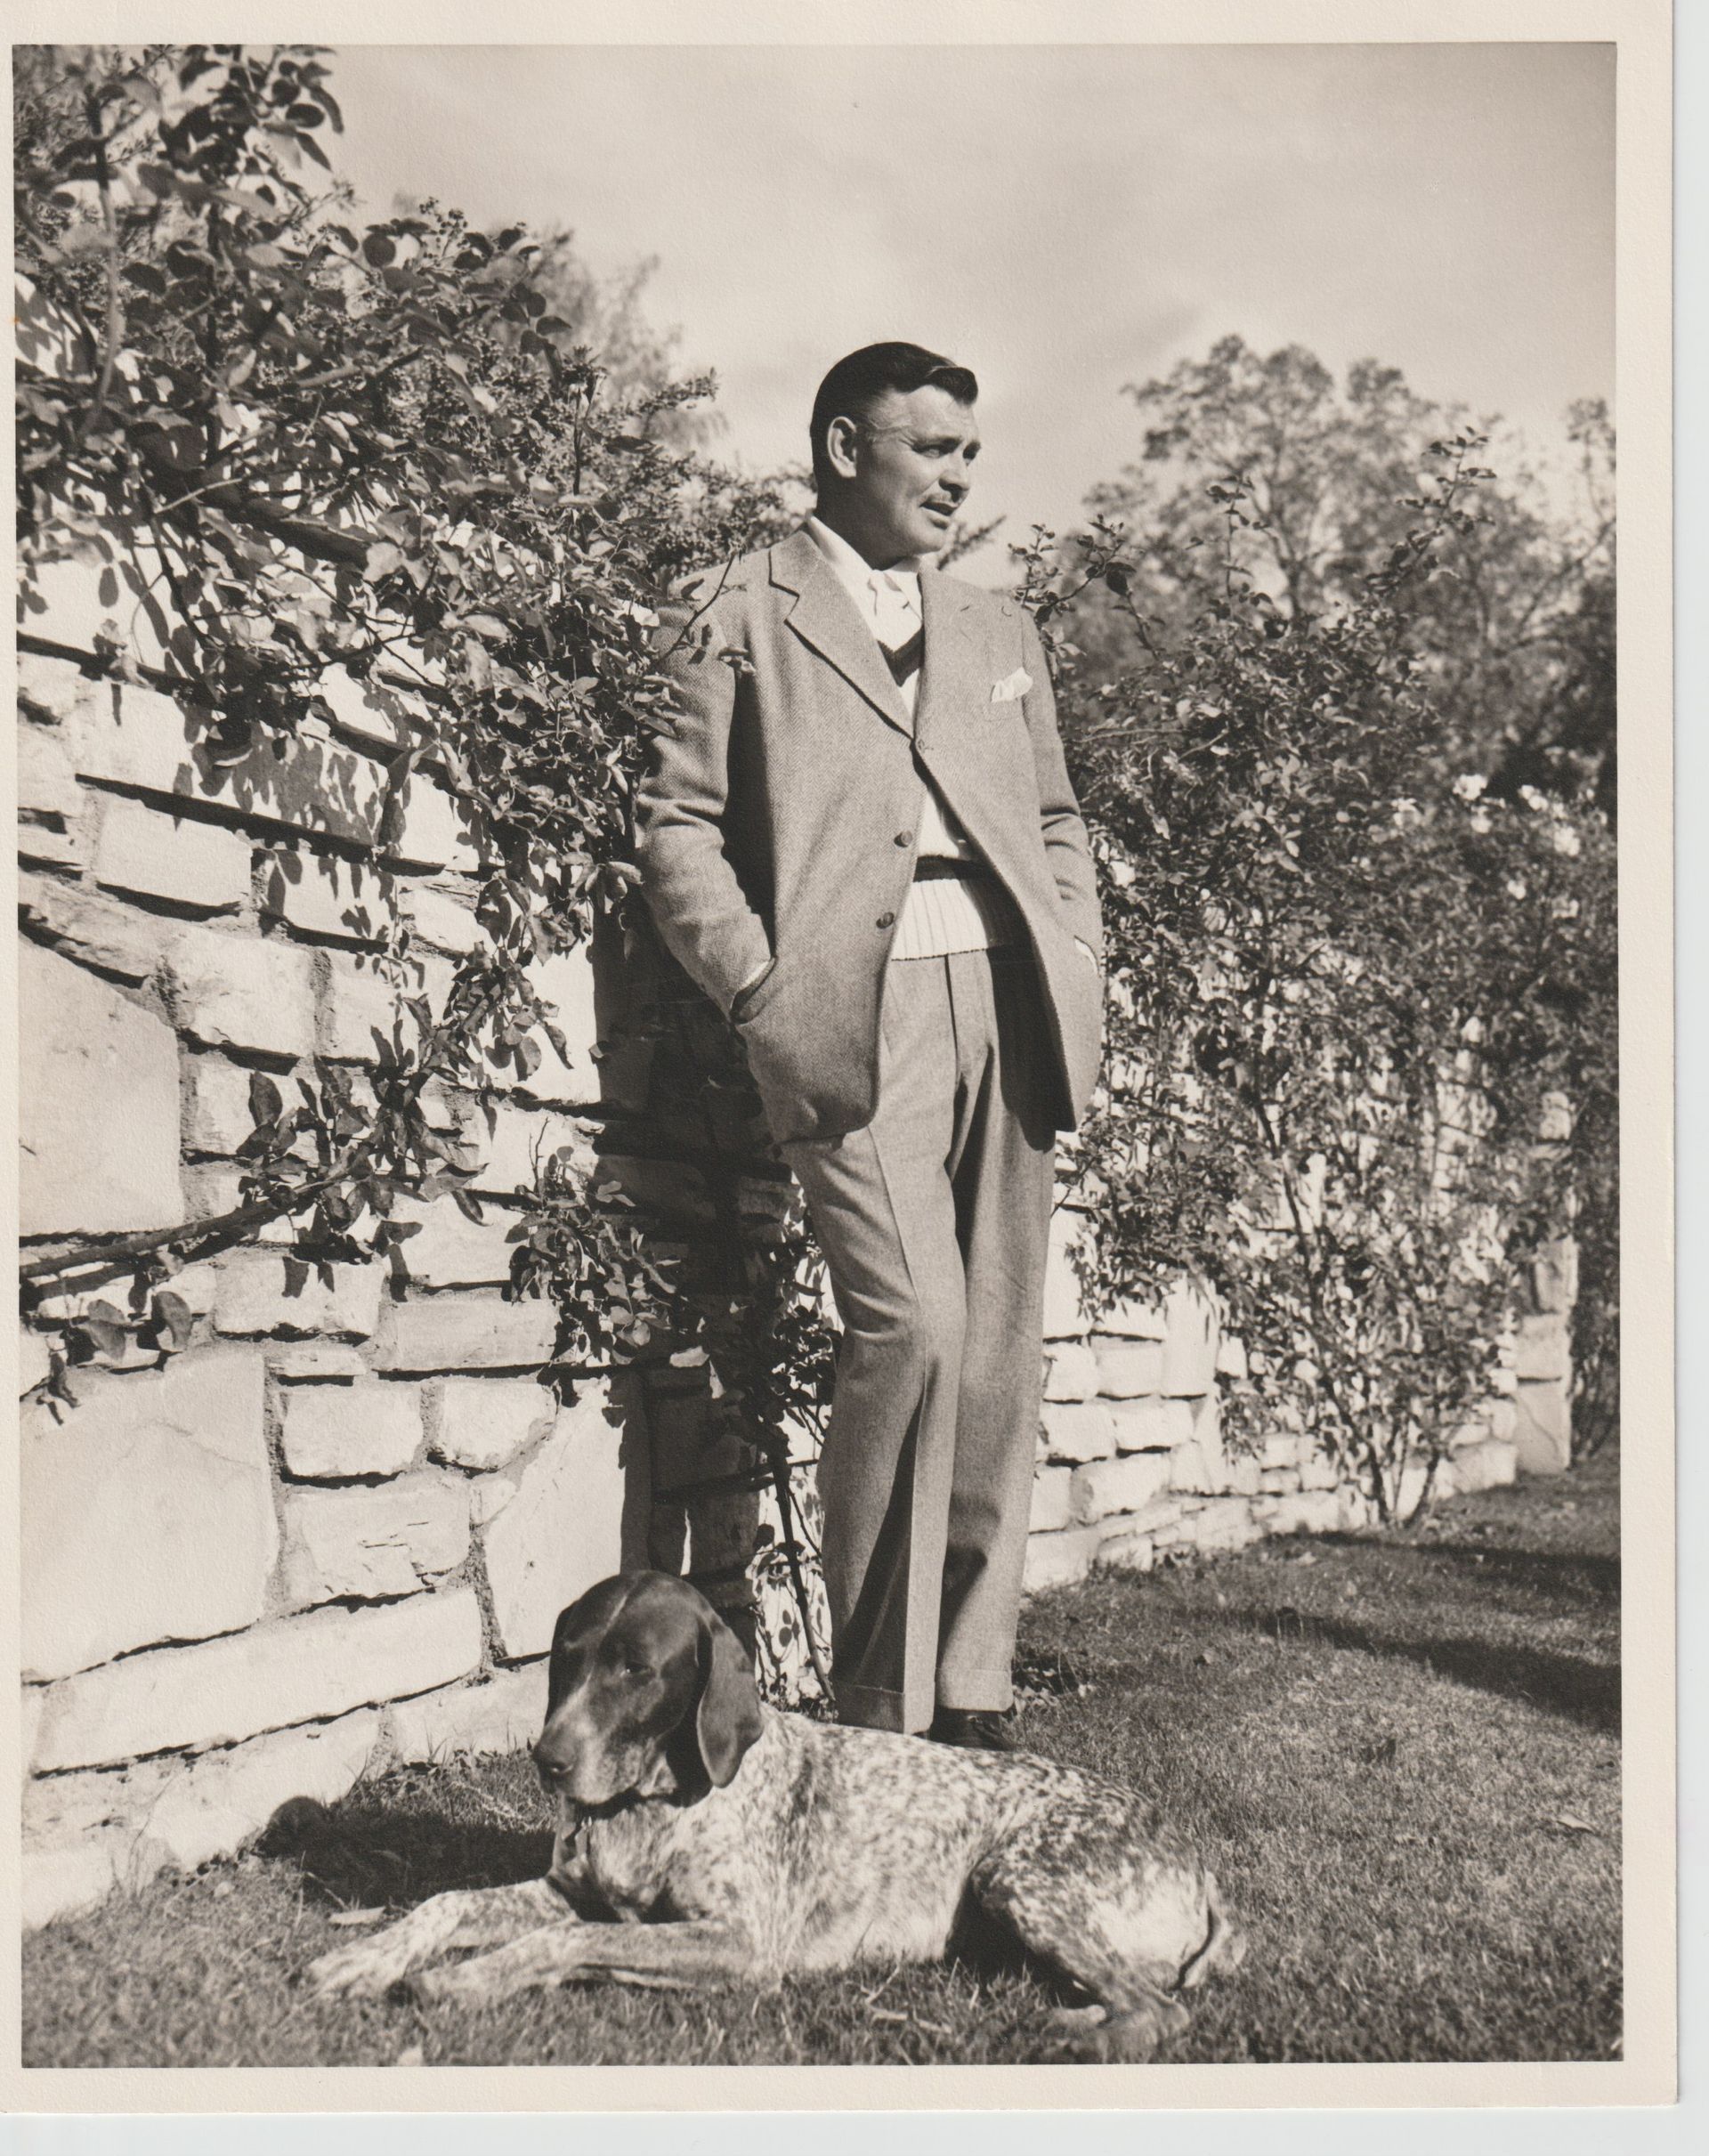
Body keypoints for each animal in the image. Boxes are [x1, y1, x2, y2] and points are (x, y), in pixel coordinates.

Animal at [305, 1569, 1241, 2052]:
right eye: (567, 1656)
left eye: (637, 1670)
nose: (549, 1762)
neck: (653, 1806)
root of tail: (1195, 1863)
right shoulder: (569, 1893)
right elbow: (445, 1903)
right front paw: (364, 1959)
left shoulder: (739, 1942)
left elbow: (562, 1944)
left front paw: (467, 1977)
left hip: (1020, 1878)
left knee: (1162, 2011)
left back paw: (1066, 2033)